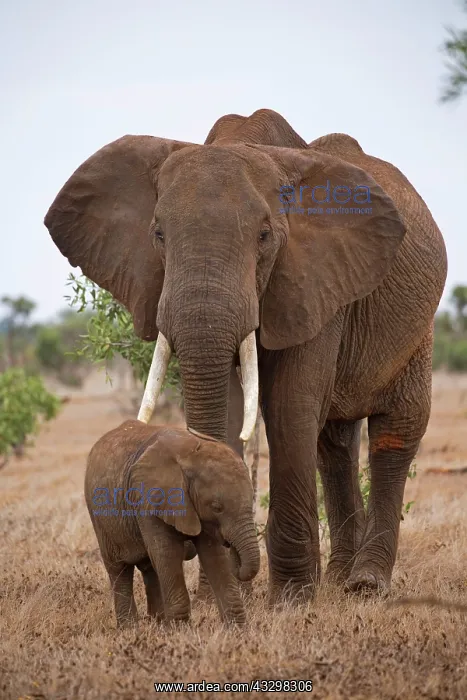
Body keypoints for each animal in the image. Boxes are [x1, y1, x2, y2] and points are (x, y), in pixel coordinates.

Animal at [45, 108, 447, 604]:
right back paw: (338, 580)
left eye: (264, 236)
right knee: (332, 445)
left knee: (395, 434)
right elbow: (235, 405)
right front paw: (215, 595)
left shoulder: (312, 278)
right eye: (158, 234)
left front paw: (291, 600)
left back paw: (365, 586)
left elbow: (290, 406)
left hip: (417, 328)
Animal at [85, 420, 260, 627]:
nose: (237, 561)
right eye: (217, 507)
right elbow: (168, 553)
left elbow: (214, 556)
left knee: (150, 568)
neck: (189, 456)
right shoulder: (148, 499)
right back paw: (130, 629)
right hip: (100, 518)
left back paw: (158, 625)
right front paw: (181, 632)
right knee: (119, 570)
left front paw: (238, 631)